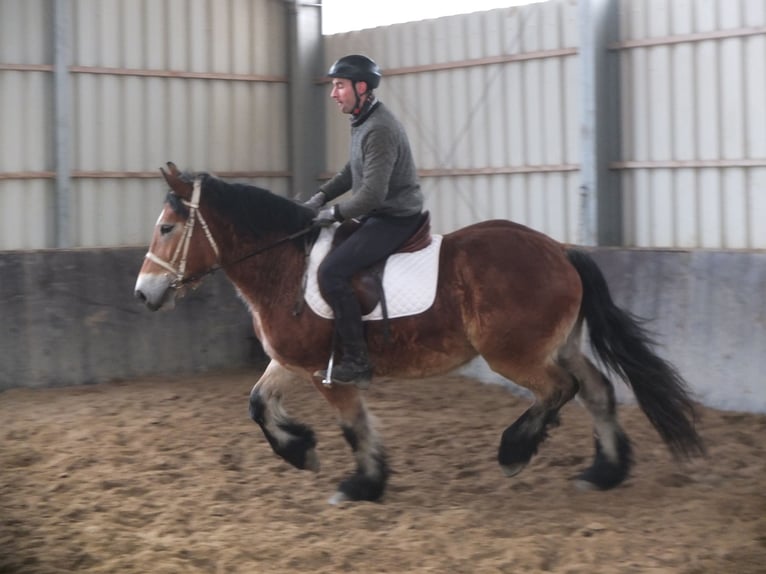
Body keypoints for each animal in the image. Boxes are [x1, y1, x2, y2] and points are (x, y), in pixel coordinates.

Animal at [135, 164, 704, 506]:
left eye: (166, 228)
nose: (143, 294)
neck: (285, 266)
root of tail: (561, 252)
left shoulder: (328, 372)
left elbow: (353, 426)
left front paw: (361, 483)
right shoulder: (292, 362)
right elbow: (258, 404)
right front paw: (302, 451)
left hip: (514, 355)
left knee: (560, 390)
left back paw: (515, 451)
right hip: (557, 344)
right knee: (597, 391)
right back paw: (604, 472)